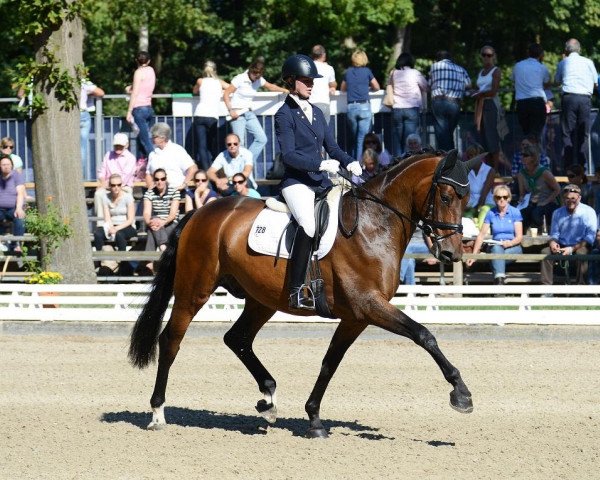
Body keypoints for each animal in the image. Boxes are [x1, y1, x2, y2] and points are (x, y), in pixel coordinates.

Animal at [129, 151, 476, 438]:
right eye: (447, 196)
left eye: (467, 198)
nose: (452, 253)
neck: (373, 225)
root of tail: (199, 213)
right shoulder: (368, 305)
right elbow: (423, 334)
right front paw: (461, 393)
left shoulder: (356, 316)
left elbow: (330, 362)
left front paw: (314, 419)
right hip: (194, 290)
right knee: (171, 340)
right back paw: (157, 413)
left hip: (261, 300)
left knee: (237, 339)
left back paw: (268, 401)